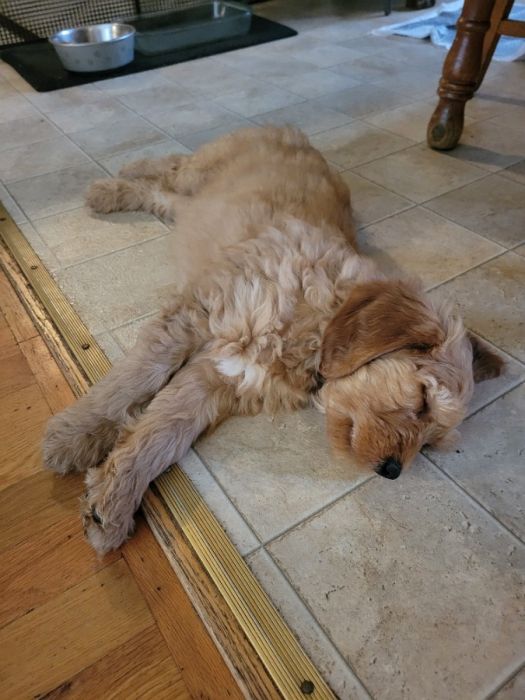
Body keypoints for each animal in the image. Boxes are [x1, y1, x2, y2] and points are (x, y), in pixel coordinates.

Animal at [42, 126, 504, 552]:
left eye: (430, 446)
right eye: (423, 400)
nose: (392, 471)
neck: (317, 319)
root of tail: (293, 130)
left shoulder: (220, 377)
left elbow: (162, 433)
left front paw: (112, 501)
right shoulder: (196, 315)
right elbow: (133, 380)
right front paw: (77, 433)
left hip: (197, 204)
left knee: (162, 196)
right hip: (202, 172)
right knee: (171, 165)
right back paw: (116, 179)